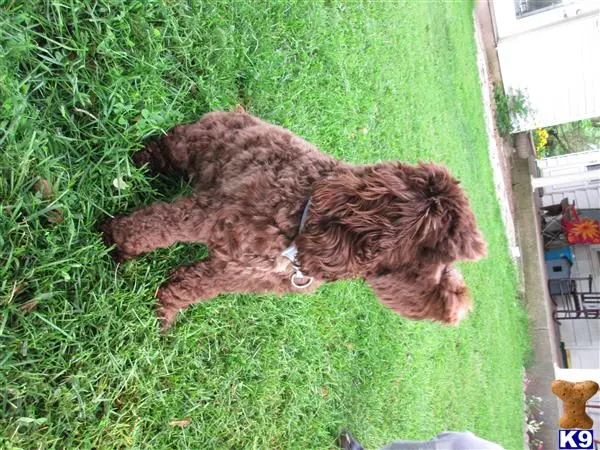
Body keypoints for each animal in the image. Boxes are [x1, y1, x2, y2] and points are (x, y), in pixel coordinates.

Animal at [102, 107, 488, 328]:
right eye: (440, 260)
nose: (461, 308)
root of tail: (240, 111)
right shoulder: (205, 214)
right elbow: (149, 229)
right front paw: (112, 245)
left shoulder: (236, 274)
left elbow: (189, 286)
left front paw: (163, 312)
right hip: (191, 144)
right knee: (162, 148)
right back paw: (137, 163)